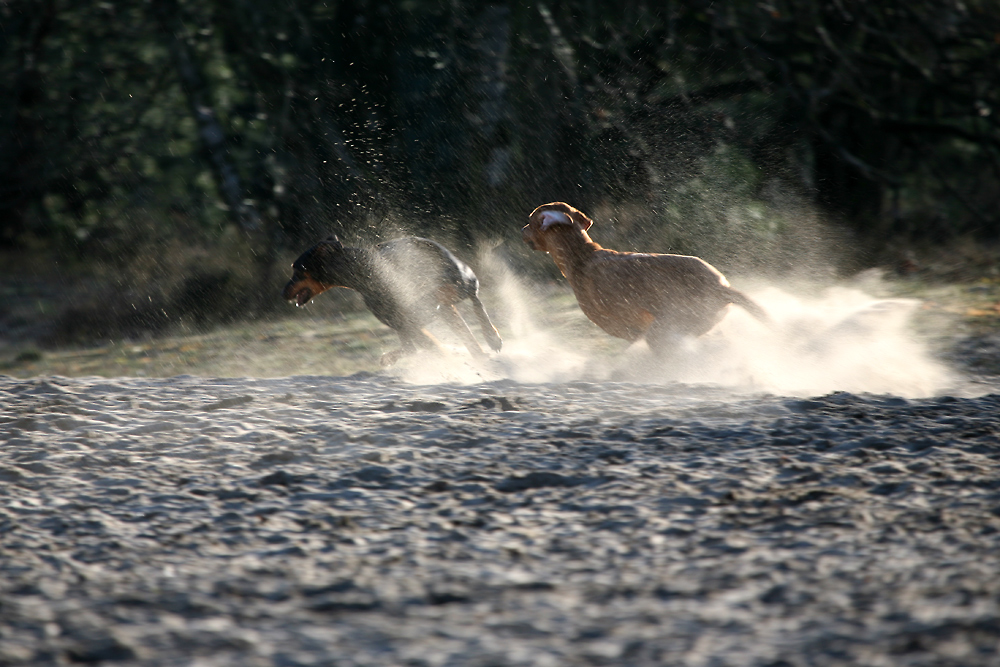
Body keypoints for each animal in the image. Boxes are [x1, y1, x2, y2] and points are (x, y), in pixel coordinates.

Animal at [280, 236, 500, 366]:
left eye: (298, 270)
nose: (283, 293)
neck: (360, 270)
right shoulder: (403, 324)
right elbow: (414, 348)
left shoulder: (408, 321)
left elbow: (423, 347)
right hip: (448, 303)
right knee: (466, 321)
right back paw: (482, 350)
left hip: (458, 283)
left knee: (474, 298)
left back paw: (492, 337)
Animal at [520, 202, 768, 354]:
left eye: (530, 221)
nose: (521, 230)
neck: (581, 255)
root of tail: (720, 287)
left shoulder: (632, 332)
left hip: (662, 332)